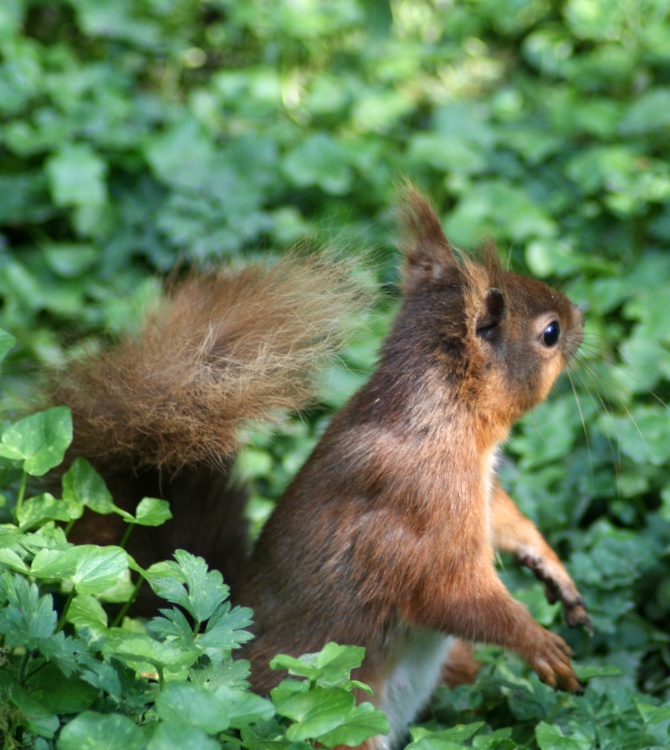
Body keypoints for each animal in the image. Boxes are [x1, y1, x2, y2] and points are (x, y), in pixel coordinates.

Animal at [51, 185, 590, 750]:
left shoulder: (481, 496)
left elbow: (507, 518)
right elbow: (453, 595)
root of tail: (211, 653)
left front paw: (552, 568)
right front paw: (539, 642)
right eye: (550, 332)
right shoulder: (419, 509)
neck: (445, 419)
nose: (580, 313)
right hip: (340, 721)